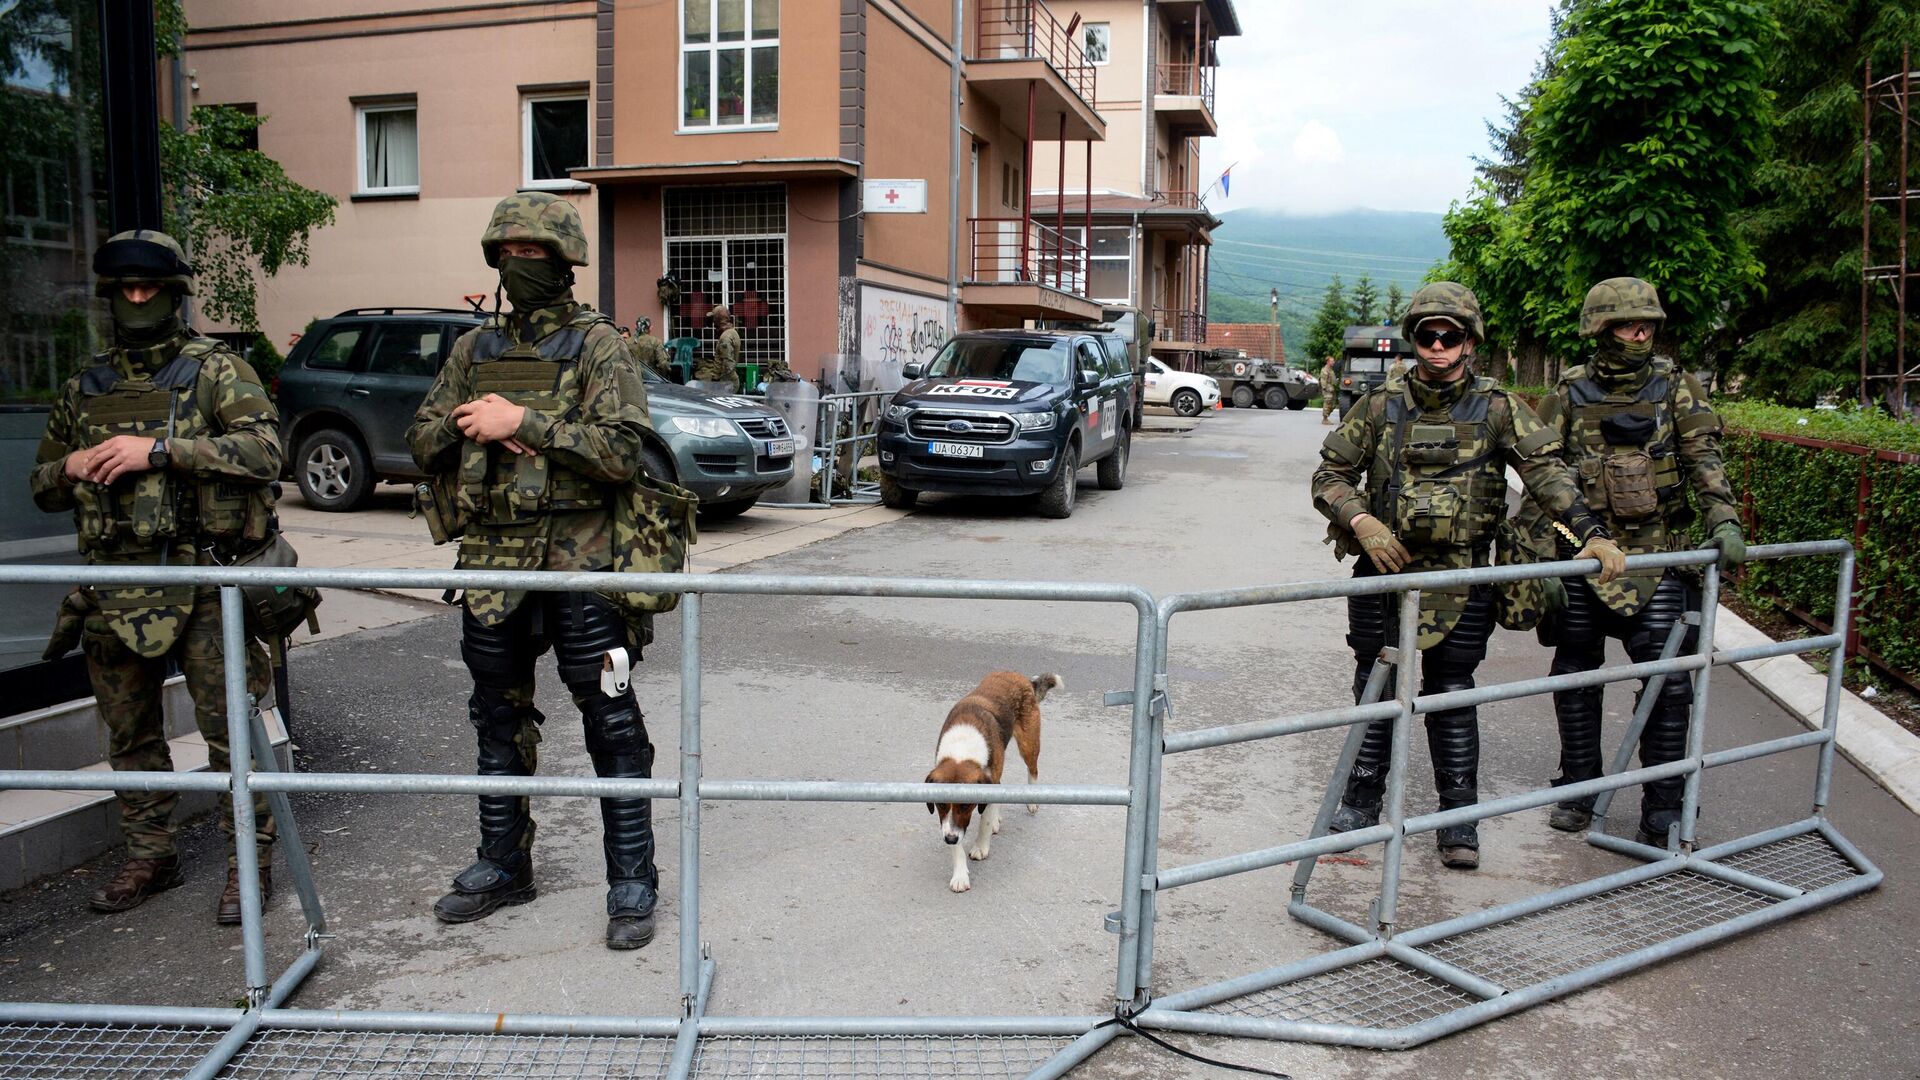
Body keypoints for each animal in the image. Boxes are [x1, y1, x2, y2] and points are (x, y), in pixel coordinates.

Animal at [921, 668, 1059, 887]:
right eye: (941, 804)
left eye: (966, 805)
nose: (949, 839)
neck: (961, 751)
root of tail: (1019, 676)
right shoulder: (950, 822)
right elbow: (956, 839)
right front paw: (960, 874)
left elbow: (983, 822)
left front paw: (980, 846)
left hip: (1029, 744)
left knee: (1033, 770)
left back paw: (1030, 801)